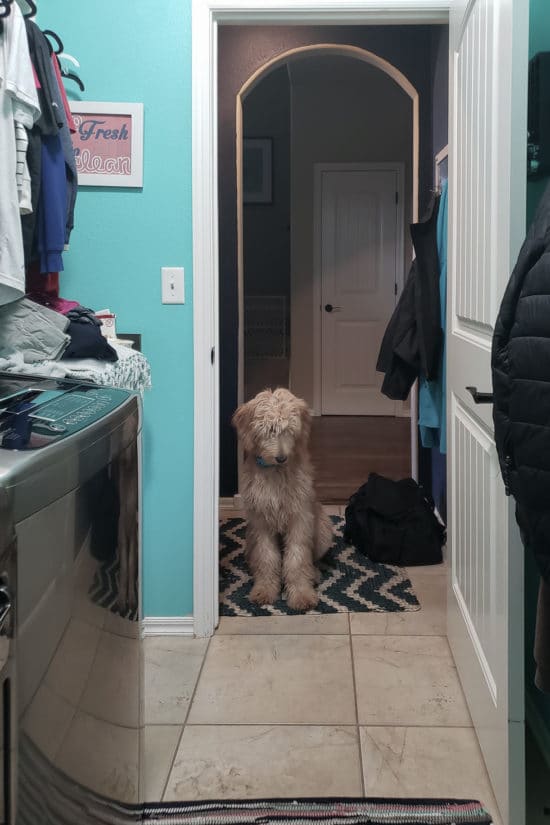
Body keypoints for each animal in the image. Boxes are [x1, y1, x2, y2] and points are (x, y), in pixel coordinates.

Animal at [232, 388, 334, 612]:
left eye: (289, 430)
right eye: (269, 429)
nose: (281, 458)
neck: (276, 472)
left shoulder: (300, 518)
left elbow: (297, 559)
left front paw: (302, 594)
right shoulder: (261, 522)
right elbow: (267, 557)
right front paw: (264, 590)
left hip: (322, 529)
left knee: (311, 560)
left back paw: (313, 574)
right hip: (250, 537)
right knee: (256, 557)